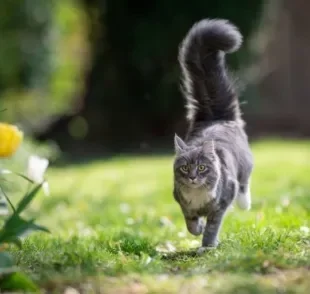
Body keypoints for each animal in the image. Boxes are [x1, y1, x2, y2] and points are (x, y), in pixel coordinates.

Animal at [173, 18, 253, 253]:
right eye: (184, 168)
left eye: (201, 168)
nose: (192, 177)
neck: (198, 195)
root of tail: (215, 117)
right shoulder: (181, 201)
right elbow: (190, 222)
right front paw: (196, 229)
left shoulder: (222, 201)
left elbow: (212, 227)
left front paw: (207, 246)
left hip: (244, 167)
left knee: (245, 184)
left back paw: (244, 203)